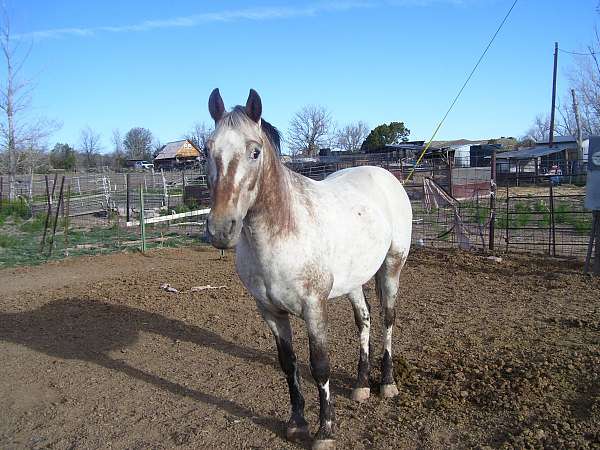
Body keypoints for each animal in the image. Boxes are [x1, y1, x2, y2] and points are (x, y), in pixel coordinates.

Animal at [206, 89, 412, 450]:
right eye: (207, 148)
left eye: (254, 151)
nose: (221, 228)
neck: (284, 230)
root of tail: (386, 176)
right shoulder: (270, 311)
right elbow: (288, 364)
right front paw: (296, 423)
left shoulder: (313, 307)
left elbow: (319, 366)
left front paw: (325, 431)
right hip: (354, 280)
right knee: (364, 320)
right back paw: (361, 385)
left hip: (392, 266)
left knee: (387, 319)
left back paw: (386, 384)